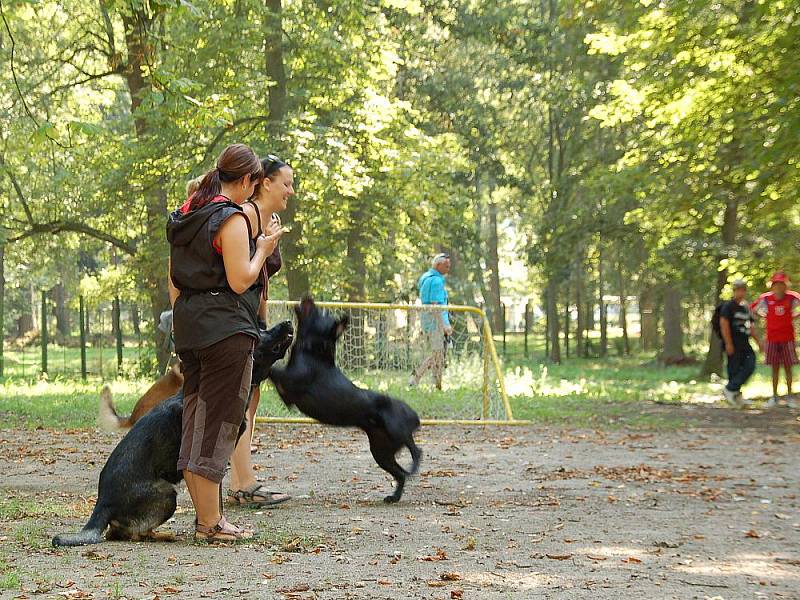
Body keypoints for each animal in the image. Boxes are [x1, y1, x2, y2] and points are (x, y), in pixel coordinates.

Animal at [54, 322, 296, 548]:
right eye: (259, 332)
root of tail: (101, 504)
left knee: (117, 533)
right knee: (134, 533)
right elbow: (215, 501)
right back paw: (164, 535)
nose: (288, 322)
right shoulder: (212, 458)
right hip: (167, 493)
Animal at [268, 298, 422, 504]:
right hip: (381, 452)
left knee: (415, 449)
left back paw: (414, 463)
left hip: (395, 428)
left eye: (322, 312)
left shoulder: (289, 382)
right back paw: (394, 496)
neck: (313, 351)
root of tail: (414, 416)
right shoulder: (287, 392)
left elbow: (272, 369)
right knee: (401, 473)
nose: (309, 298)